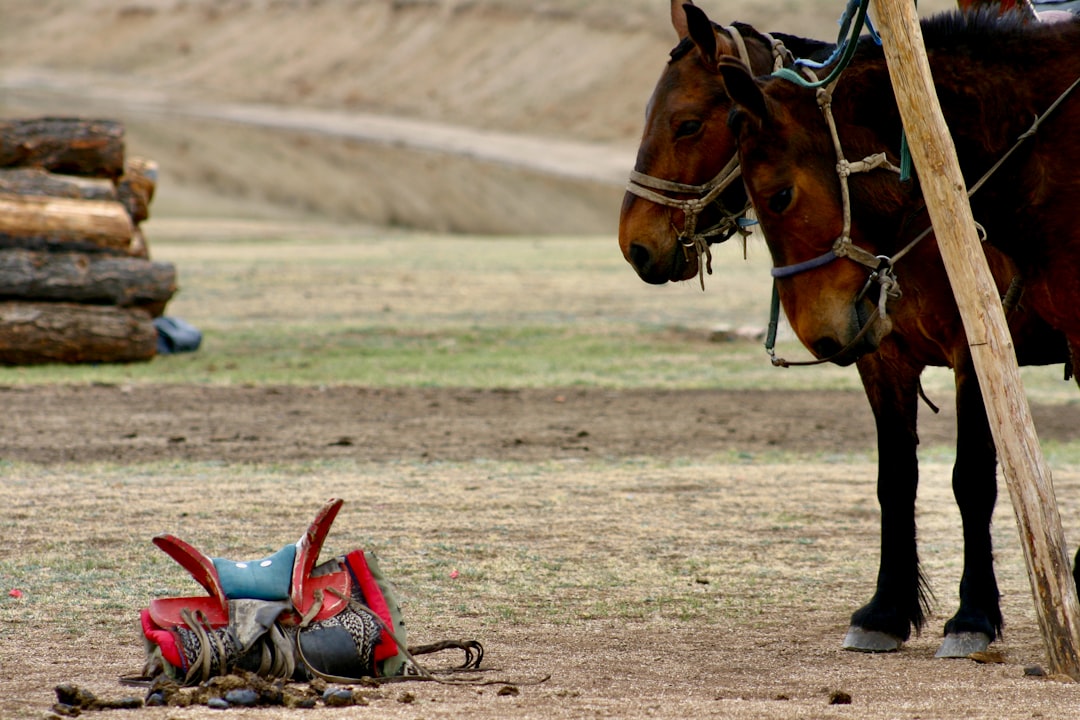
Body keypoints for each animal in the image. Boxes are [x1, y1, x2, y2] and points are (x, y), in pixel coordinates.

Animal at [617, 0, 1071, 651]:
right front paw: (886, 611)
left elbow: (972, 481)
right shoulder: (881, 357)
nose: (634, 245)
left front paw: (973, 617)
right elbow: (895, 480)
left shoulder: (977, 353)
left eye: (687, 125)